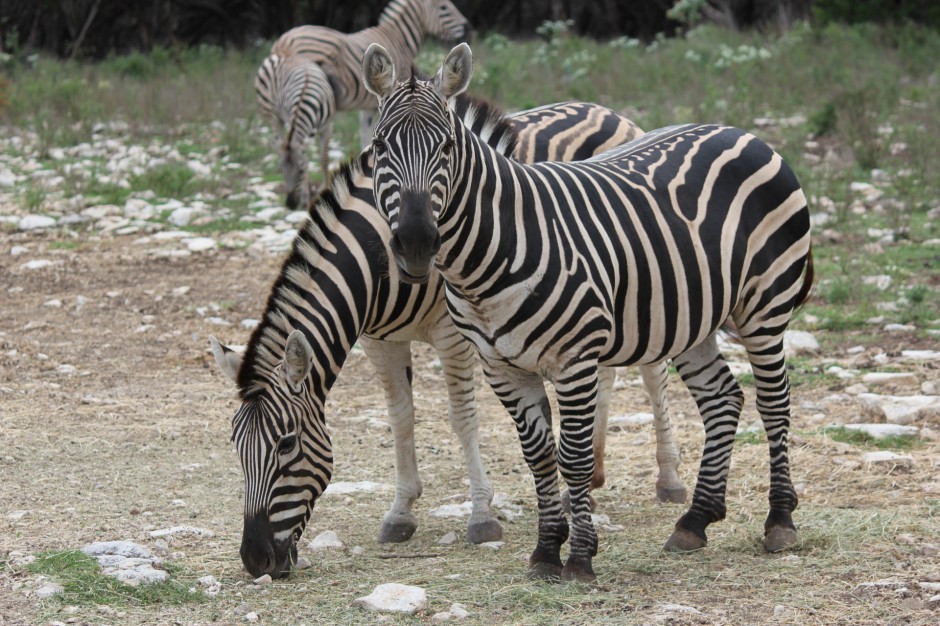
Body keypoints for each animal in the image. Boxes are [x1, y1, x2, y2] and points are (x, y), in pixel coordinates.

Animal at [211, 95, 684, 576]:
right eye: (236, 447)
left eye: (286, 444)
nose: (255, 559)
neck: (377, 259)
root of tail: (604, 109)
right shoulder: (378, 340)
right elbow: (401, 419)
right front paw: (400, 512)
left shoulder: (454, 333)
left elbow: (462, 418)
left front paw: (481, 516)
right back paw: (588, 480)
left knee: (653, 375)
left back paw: (668, 479)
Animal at [255, 53, 336, 210]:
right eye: (281, 170)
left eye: (299, 171)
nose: (291, 204)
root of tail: (285, 55)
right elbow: (305, 159)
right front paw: (306, 198)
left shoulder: (327, 128)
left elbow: (323, 160)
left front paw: (324, 190)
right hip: (273, 115)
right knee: (278, 137)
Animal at [272, 0, 474, 151]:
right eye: (444, 8)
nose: (469, 30)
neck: (399, 39)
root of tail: (284, 42)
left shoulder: (369, 104)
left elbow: (365, 134)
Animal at [364, 42, 820, 580]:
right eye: (378, 149)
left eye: (448, 148)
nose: (416, 243)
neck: (490, 257)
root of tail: (741, 132)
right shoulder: (501, 366)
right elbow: (539, 458)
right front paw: (546, 551)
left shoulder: (575, 358)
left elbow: (575, 458)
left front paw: (580, 556)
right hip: (692, 317)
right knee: (722, 399)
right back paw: (695, 520)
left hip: (764, 307)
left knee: (774, 402)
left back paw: (780, 519)